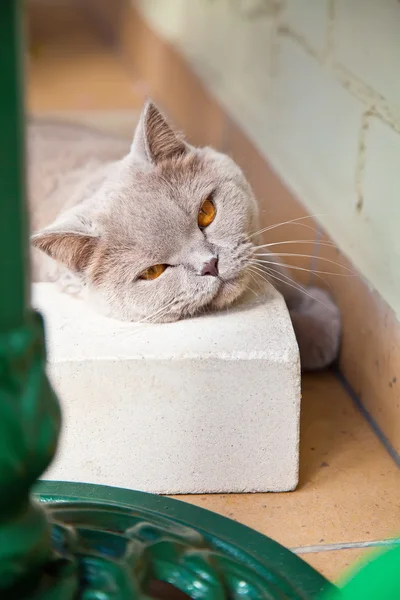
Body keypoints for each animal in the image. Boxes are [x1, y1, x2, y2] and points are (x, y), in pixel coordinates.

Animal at [29, 102, 340, 370]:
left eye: (206, 212)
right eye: (153, 271)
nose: (210, 264)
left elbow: (278, 272)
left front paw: (319, 317)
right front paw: (312, 336)